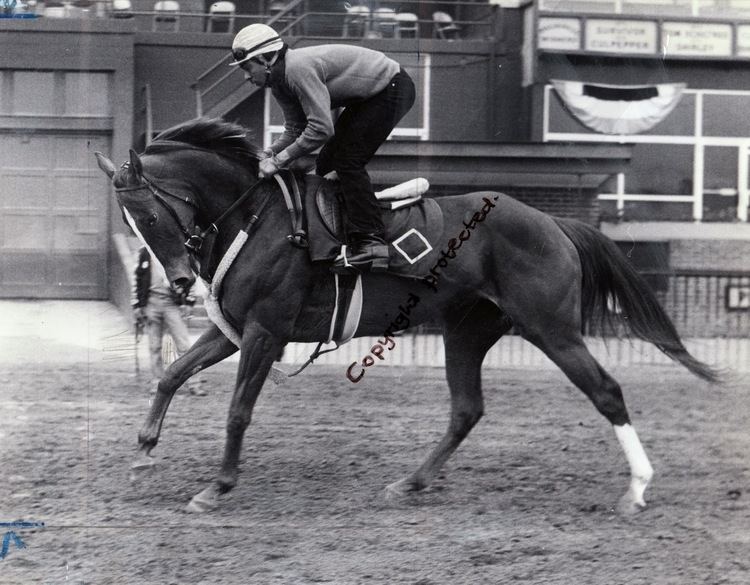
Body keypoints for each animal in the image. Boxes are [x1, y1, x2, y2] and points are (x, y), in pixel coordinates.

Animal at [95, 117, 724, 512]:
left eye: (147, 215)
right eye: (130, 221)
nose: (179, 282)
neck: (259, 216)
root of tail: (555, 223)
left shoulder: (265, 333)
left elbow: (236, 412)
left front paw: (218, 486)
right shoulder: (235, 331)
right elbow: (172, 374)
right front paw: (144, 451)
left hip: (552, 328)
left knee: (607, 392)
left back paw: (637, 488)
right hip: (467, 331)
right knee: (467, 409)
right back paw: (412, 481)